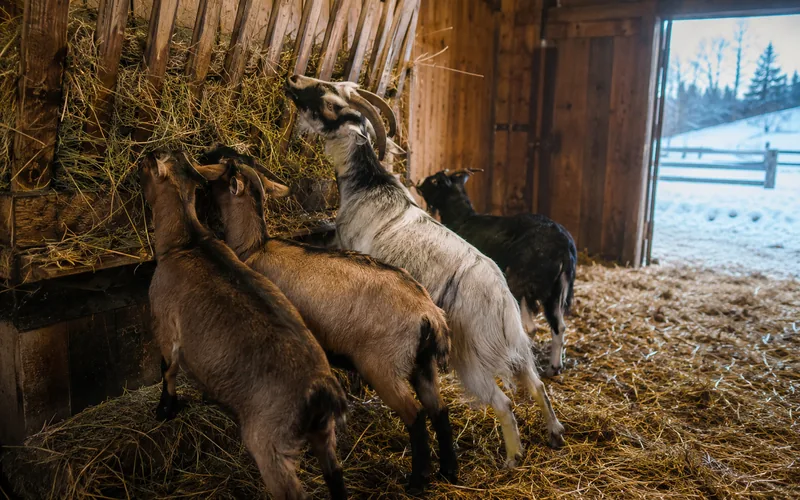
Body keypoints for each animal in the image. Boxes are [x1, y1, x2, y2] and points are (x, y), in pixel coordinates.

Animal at [140, 149, 348, 500]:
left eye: (146, 167)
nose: (138, 165)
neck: (186, 242)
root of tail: (321, 389)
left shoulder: (165, 326)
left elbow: (167, 371)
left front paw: (165, 410)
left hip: (270, 445)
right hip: (324, 433)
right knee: (336, 476)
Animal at [195, 148, 458, 493]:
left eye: (224, 164)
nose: (206, 151)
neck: (254, 246)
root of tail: (428, 313)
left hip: (383, 366)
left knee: (416, 416)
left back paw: (417, 481)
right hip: (422, 365)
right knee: (439, 411)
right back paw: (449, 472)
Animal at [415, 169, 577, 377]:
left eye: (435, 180)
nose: (418, 182)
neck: (463, 218)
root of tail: (564, 248)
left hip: (523, 281)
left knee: (529, 327)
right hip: (556, 289)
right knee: (559, 326)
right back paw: (554, 368)